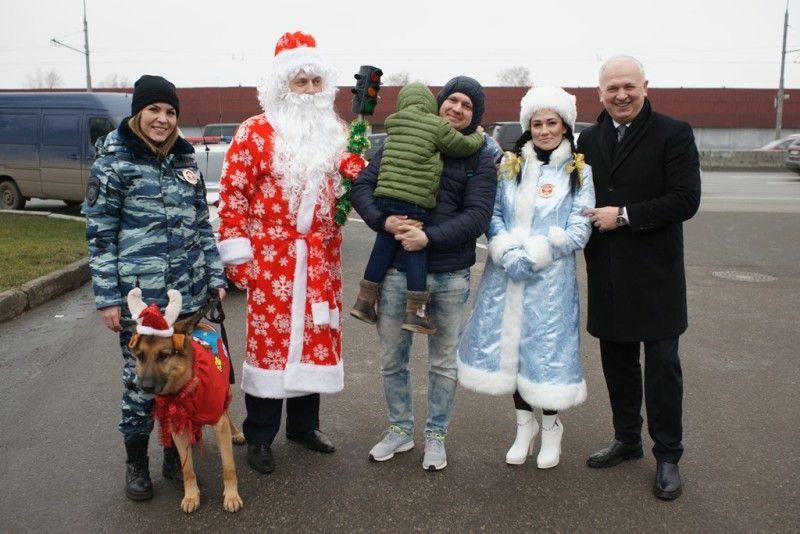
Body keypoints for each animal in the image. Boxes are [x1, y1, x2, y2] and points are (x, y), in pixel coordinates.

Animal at [126, 292, 245, 516]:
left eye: (163, 356)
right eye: (141, 356)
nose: (144, 387)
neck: (184, 388)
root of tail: (200, 325)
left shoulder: (218, 424)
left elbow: (229, 468)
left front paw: (232, 496)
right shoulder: (177, 428)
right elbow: (187, 469)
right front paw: (191, 496)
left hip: (227, 393)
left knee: (227, 412)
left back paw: (236, 433)